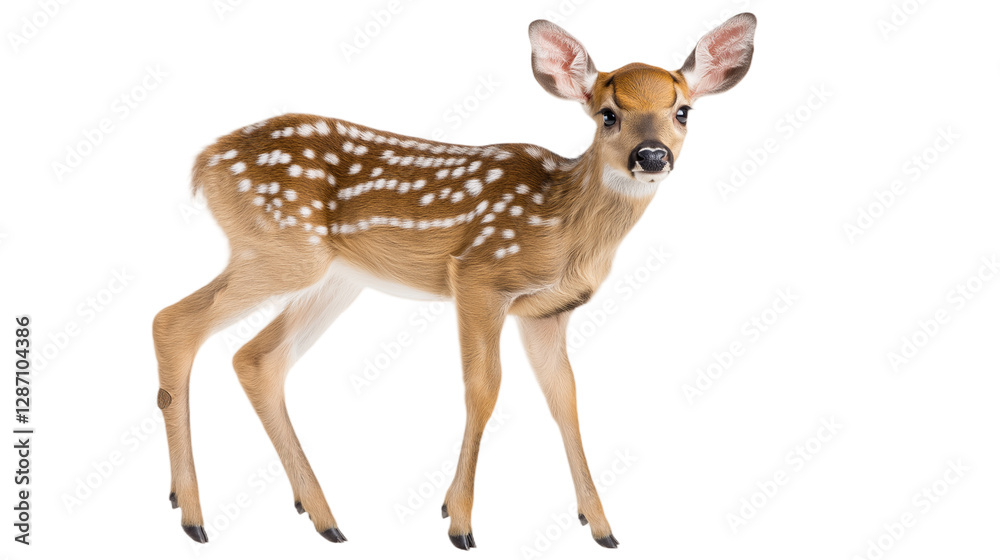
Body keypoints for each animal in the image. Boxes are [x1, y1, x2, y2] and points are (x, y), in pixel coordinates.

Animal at [153, 13, 756, 550]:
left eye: (683, 111)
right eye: (607, 114)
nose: (651, 156)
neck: (564, 223)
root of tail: (204, 163)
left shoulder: (547, 312)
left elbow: (564, 397)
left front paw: (601, 525)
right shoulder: (478, 276)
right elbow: (483, 388)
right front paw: (459, 522)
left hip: (334, 278)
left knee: (256, 357)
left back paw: (321, 516)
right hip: (282, 249)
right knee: (173, 321)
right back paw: (193, 514)